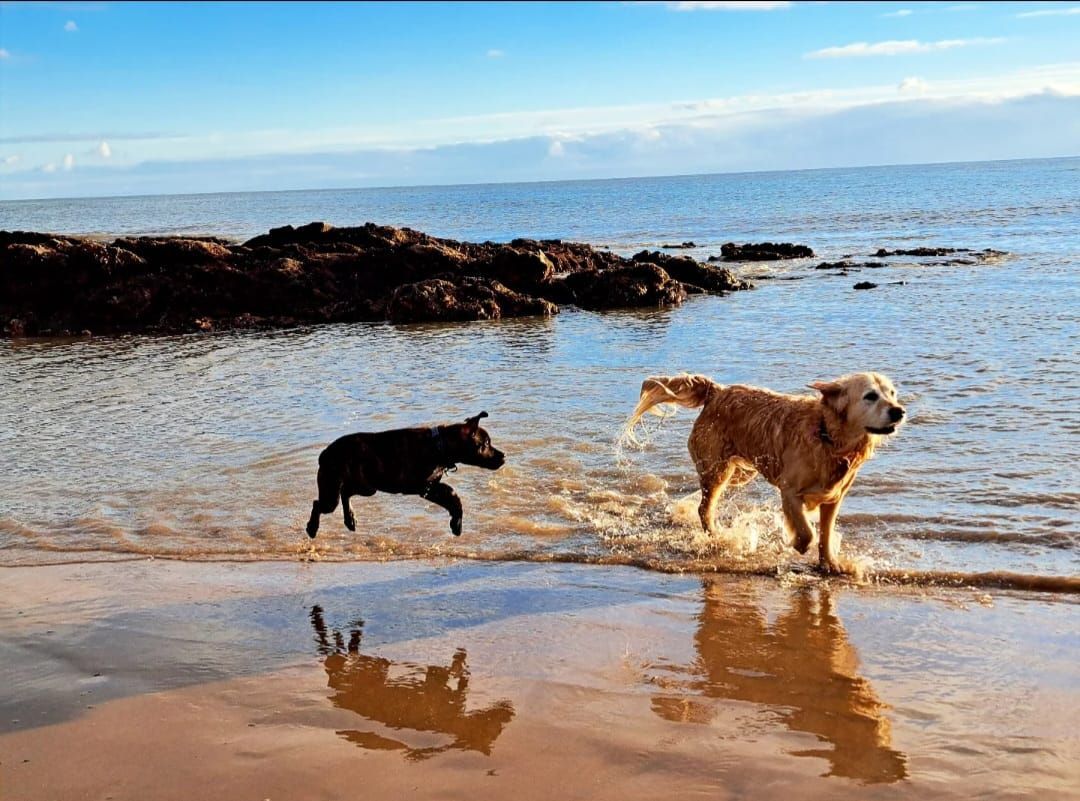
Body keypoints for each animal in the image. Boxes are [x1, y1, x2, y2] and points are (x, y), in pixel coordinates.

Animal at [306, 414, 503, 539]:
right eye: (485, 444)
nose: (503, 456)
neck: (439, 445)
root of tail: (325, 453)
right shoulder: (424, 487)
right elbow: (453, 495)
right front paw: (456, 524)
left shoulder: (430, 488)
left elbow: (453, 498)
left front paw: (456, 522)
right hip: (334, 491)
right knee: (319, 503)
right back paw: (312, 528)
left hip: (366, 486)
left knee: (345, 493)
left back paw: (350, 519)